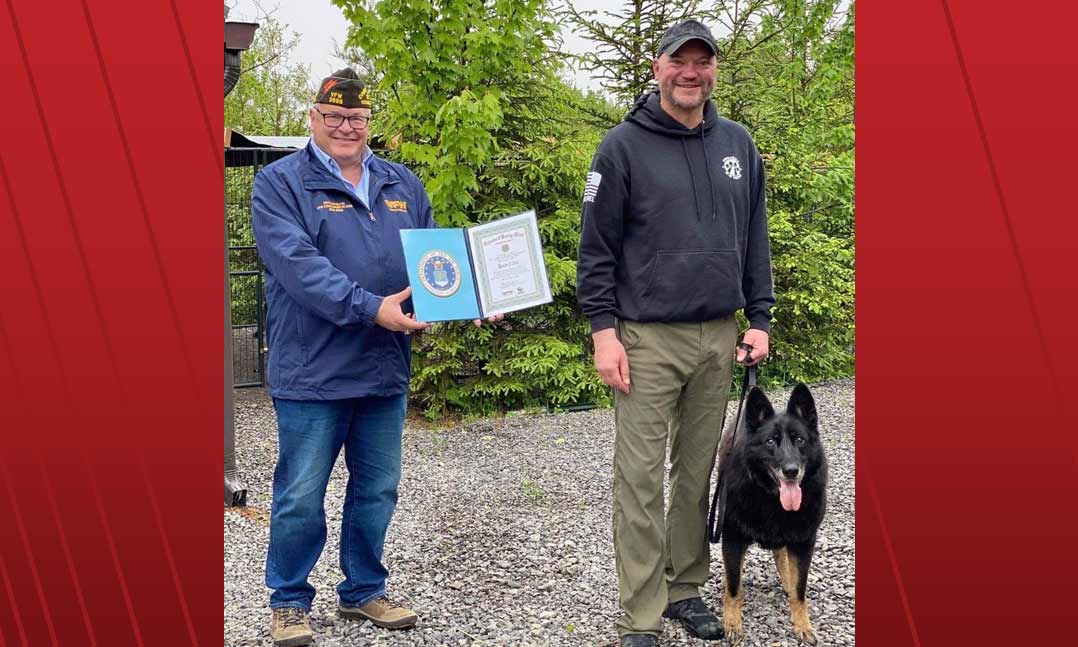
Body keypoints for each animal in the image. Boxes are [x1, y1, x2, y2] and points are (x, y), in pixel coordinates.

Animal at [715, 383, 823, 642]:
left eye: (800, 440)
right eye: (771, 442)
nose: (791, 471)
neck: (770, 496)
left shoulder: (803, 542)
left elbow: (800, 589)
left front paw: (802, 624)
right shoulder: (732, 539)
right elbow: (733, 586)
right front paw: (732, 622)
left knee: (781, 556)